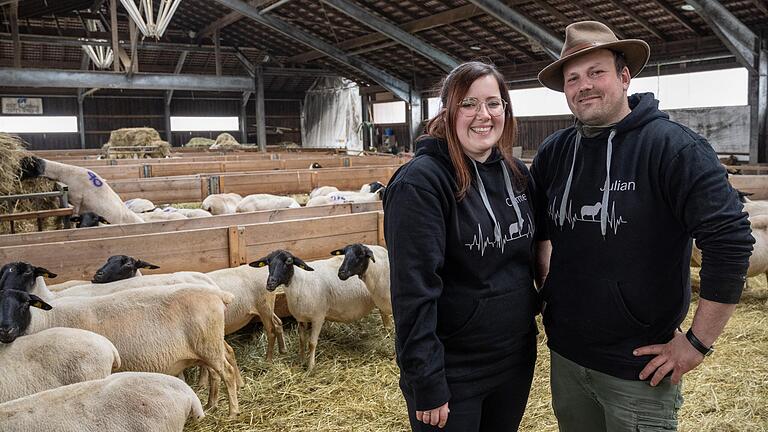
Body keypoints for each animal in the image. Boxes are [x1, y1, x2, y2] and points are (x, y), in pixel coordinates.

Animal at [0, 286, 240, 416]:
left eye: (24, 304)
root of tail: (218, 294)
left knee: (226, 373)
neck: (45, 319)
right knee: (217, 373)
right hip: (207, 346)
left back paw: (233, 412)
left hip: (208, 345)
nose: (5, 329)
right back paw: (211, 405)